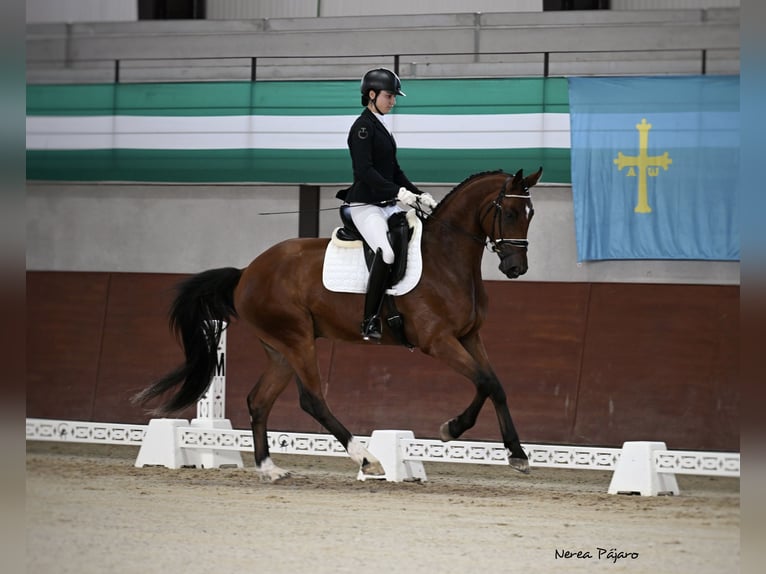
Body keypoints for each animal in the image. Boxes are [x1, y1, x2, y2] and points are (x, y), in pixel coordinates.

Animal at [136, 166, 544, 482]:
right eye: (509, 213)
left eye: (531, 214)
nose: (516, 268)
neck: (446, 258)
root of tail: (246, 273)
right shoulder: (438, 341)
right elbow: (485, 381)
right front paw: (454, 429)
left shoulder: (469, 337)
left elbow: (494, 385)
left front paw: (514, 452)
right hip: (298, 340)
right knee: (312, 400)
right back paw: (367, 459)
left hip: (281, 349)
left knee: (259, 401)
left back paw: (269, 469)